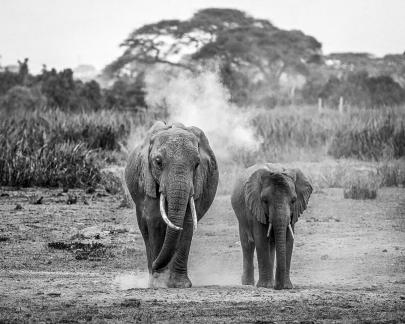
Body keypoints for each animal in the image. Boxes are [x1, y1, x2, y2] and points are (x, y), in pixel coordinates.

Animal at [124, 121, 218, 288]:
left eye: (197, 164)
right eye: (158, 162)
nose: (155, 265)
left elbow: (186, 223)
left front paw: (179, 284)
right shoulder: (148, 180)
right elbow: (155, 221)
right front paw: (158, 283)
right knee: (145, 229)